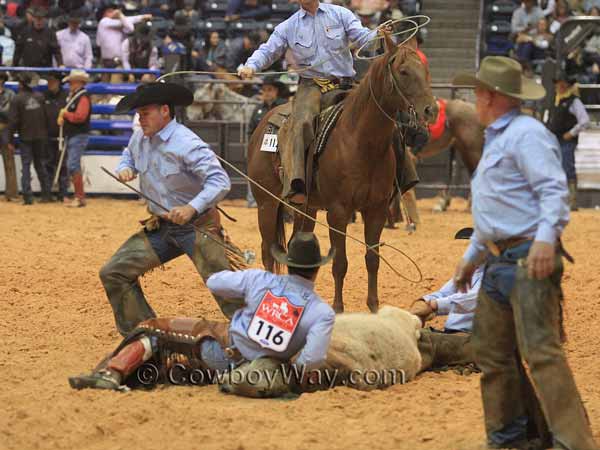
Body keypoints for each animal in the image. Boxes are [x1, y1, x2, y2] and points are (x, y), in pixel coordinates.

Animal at [246, 36, 434, 312]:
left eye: (425, 69)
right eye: (403, 71)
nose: (432, 110)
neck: (360, 140)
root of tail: (264, 123)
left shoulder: (376, 210)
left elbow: (372, 259)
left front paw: (374, 307)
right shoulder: (338, 211)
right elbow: (340, 263)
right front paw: (337, 308)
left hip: (306, 208)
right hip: (266, 204)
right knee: (267, 252)